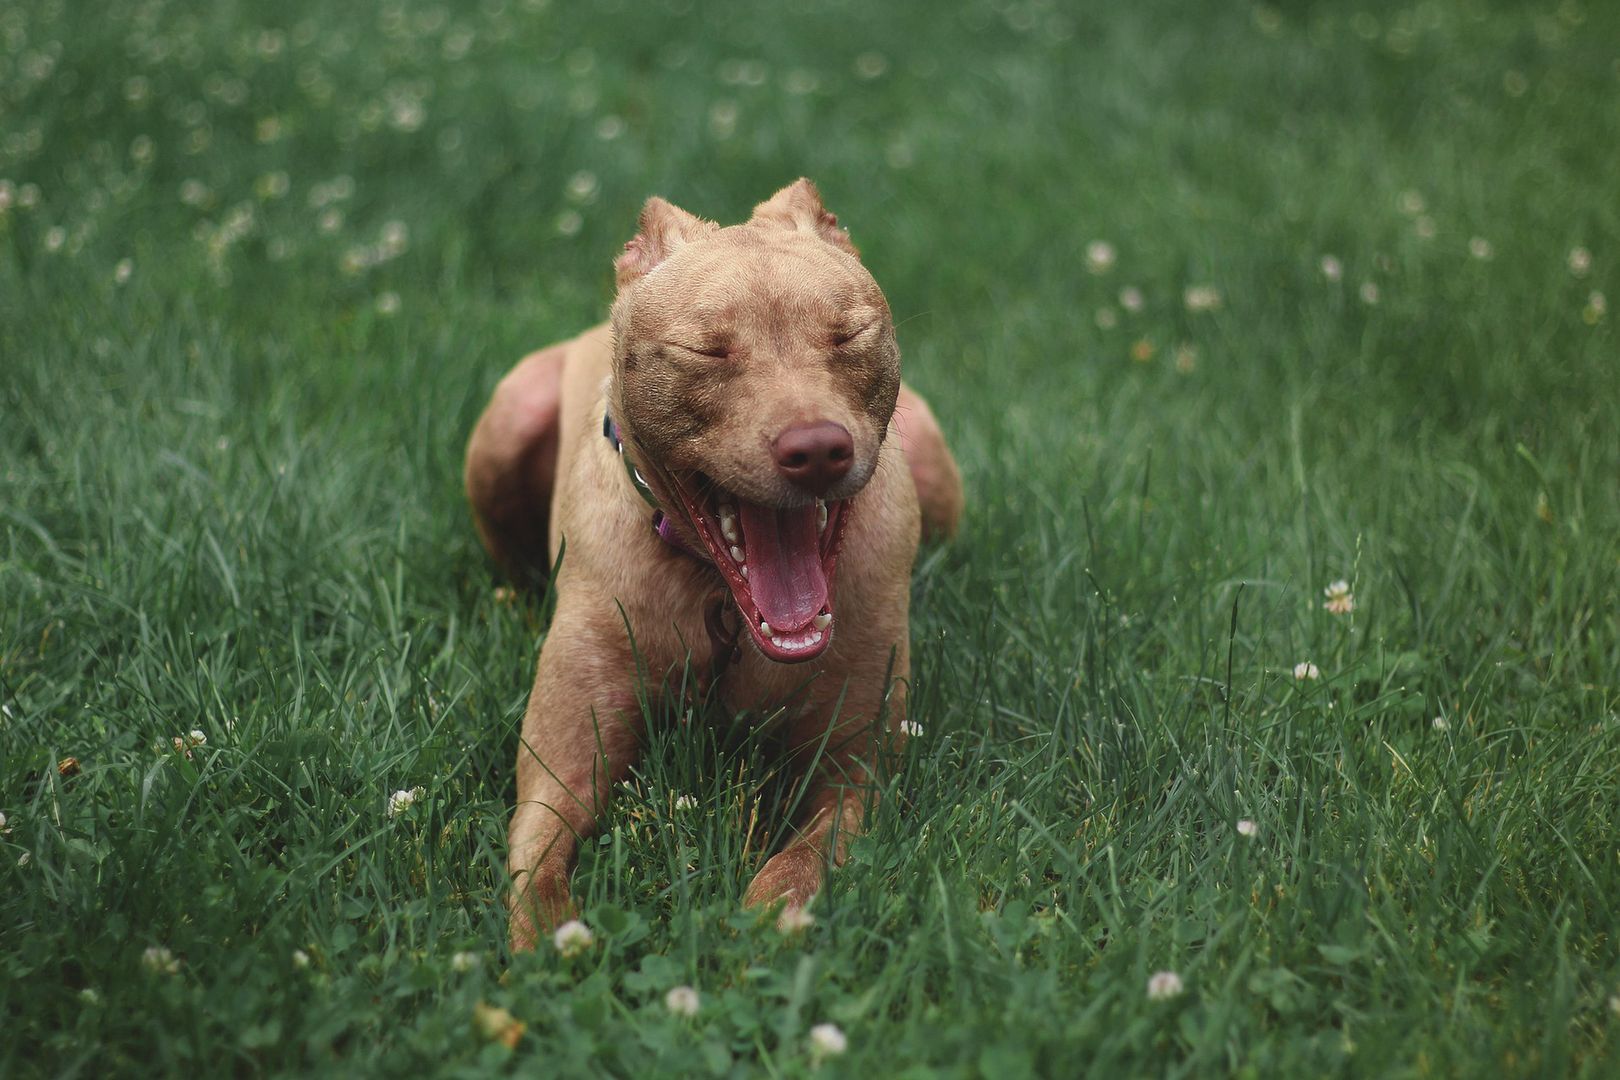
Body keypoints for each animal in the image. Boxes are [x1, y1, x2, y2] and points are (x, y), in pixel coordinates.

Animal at [463, 177, 952, 945]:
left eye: (848, 335)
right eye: (707, 352)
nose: (817, 449)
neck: (721, 601)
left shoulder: (857, 770)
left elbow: (810, 855)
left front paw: (770, 911)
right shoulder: (560, 768)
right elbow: (537, 866)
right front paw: (550, 942)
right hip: (509, 419)